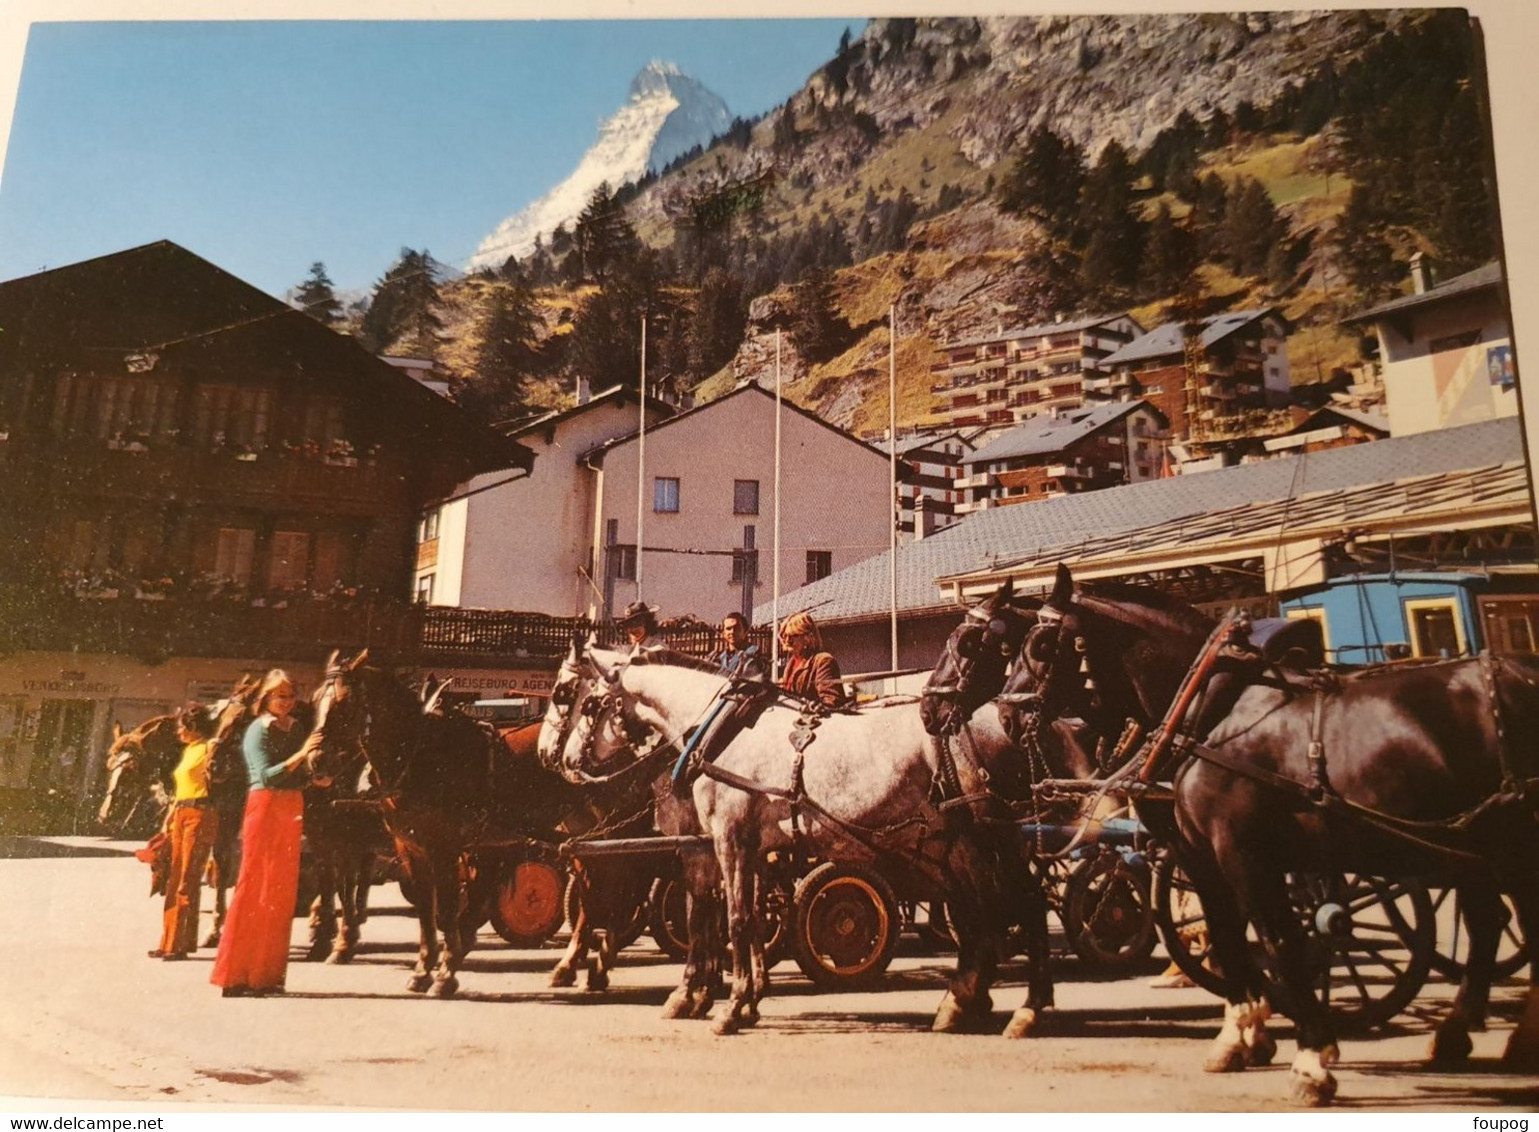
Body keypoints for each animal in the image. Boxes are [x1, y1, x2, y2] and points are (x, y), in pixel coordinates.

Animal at [547, 639, 1052, 1039]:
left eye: (573, 697)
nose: (561, 760)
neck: (719, 732)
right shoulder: (745, 848)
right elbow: (740, 919)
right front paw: (742, 1000)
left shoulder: (724, 840)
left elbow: (732, 921)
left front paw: (724, 1006)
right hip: (961, 845)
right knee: (992, 911)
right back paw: (974, 1000)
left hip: (989, 838)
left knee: (1017, 906)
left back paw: (1021, 1008)